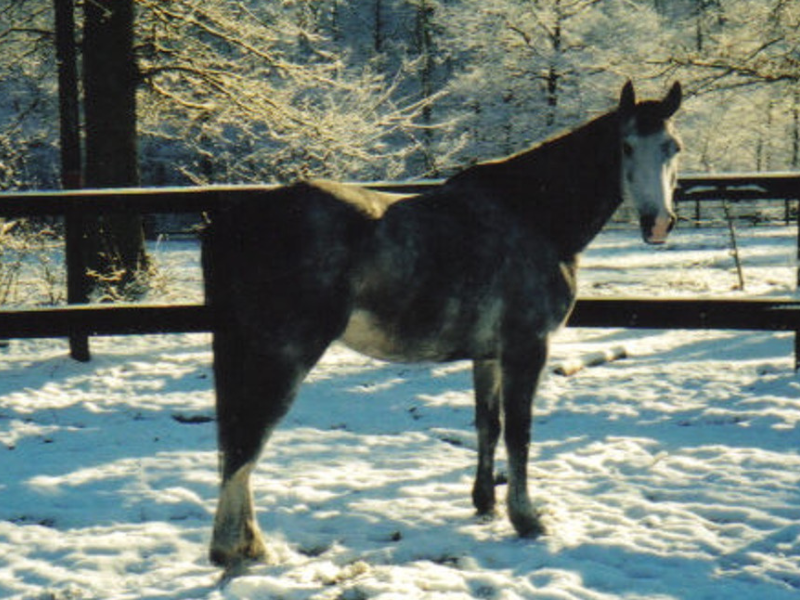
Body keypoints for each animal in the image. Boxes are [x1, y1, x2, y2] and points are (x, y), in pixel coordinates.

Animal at [202, 80, 683, 569]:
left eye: (672, 147)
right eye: (626, 146)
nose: (658, 224)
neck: (533, 212)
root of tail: (237, 218)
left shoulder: (488, 356)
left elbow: (488, 425)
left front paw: (485, 504)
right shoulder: (526, 349)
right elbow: (520, 433)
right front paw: (526, 519)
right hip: (284, 356)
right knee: (248, 437)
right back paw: (238, 549)